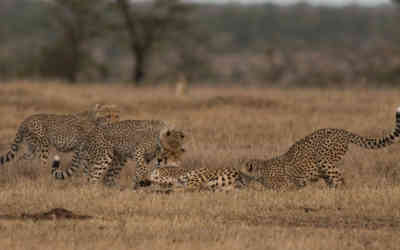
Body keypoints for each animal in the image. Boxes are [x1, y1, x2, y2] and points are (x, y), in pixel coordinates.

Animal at [51, 119, 186, 188]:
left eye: (175, 152)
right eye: (165, 149)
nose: (160, 159)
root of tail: (91, 132)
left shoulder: (147, 158)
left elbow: (139, 171)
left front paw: (137, 185)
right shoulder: (138, 152)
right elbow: (142, 168)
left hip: (118, 158)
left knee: (106, 177)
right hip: (103, 156)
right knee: (92, 177)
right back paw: (93, 192)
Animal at [239, 106, 400, 190]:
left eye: (242, 168)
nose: (238, 175)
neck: (261, 170)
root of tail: (341, 130)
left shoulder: (285, 186)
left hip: (325, 160)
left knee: (340, 177)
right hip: (323, 167)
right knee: (333, 178)